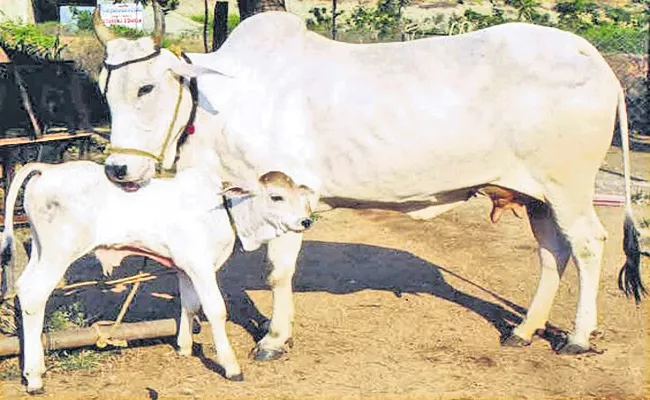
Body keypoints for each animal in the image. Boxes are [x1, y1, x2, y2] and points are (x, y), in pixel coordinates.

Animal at [0, 160, 314, 394]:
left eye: (300, 196)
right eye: (276, 197)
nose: (306, 221)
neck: (224, 210)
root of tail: (48, 169)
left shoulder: (185, 267)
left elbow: (190, 304)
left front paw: (184, 347)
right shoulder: (201, 266)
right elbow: (215, 310)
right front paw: (231, 366)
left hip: (41, 250)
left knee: (24, 288)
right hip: (60, 252)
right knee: (34, 295)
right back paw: (35, 377)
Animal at [91, 6, 644, 362]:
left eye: (146, 87)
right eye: (104, 89)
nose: (117, 170)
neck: (222, 102)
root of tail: (594, 60)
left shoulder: (289, 191)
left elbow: (277, 272)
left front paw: (274, 338)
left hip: (568, 186)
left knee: (589, 245)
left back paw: (577, 336)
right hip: (536, 196)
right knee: (553, 253)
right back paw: (525, 330)